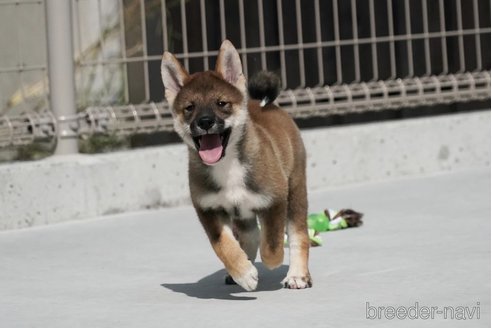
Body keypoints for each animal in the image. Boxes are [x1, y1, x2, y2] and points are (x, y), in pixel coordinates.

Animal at [160, 40, 312, 290]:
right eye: (189, 108)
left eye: (222, 103)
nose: (205, 122)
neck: (227, 166)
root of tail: (267, 104)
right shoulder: (208, 209)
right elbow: (223, 245)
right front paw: (243, 273)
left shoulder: (274, 200)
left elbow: (272, 244)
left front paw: (271, 262)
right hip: (243, 213)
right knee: (250, 236)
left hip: (295, 192)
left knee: (298, 234)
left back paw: (298, 275)